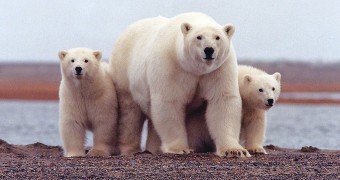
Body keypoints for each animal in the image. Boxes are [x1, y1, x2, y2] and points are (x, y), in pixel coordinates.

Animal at [110, 11, 251, 157]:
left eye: (217, 37)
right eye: (199, 37)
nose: (209, 50)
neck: (194, 68)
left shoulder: (218, 69)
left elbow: (222, 100)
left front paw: (234, 150)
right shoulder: (171, 65)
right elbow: (169, 102)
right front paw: (180, 148)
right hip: (124, 72)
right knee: (129, 113)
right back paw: (130, 149)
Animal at [146, 64, 282, 155]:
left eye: (273, 88)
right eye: (260, 89)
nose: (270, 100)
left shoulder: (252, 108)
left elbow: (255, 124)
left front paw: (256, 149)